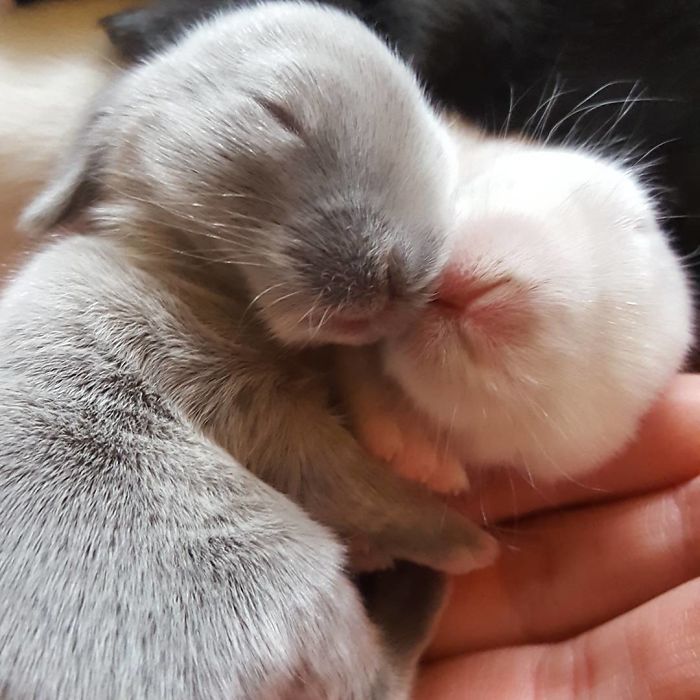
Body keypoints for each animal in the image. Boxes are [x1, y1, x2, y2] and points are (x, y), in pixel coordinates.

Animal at [0, 4, 498, 699]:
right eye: (277, 113)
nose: (405, 276)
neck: (186, 271)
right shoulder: (250, 409)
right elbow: (356, 484)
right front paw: (468, 542)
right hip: (293, 576)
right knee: (379, 676)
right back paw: (423, 585)